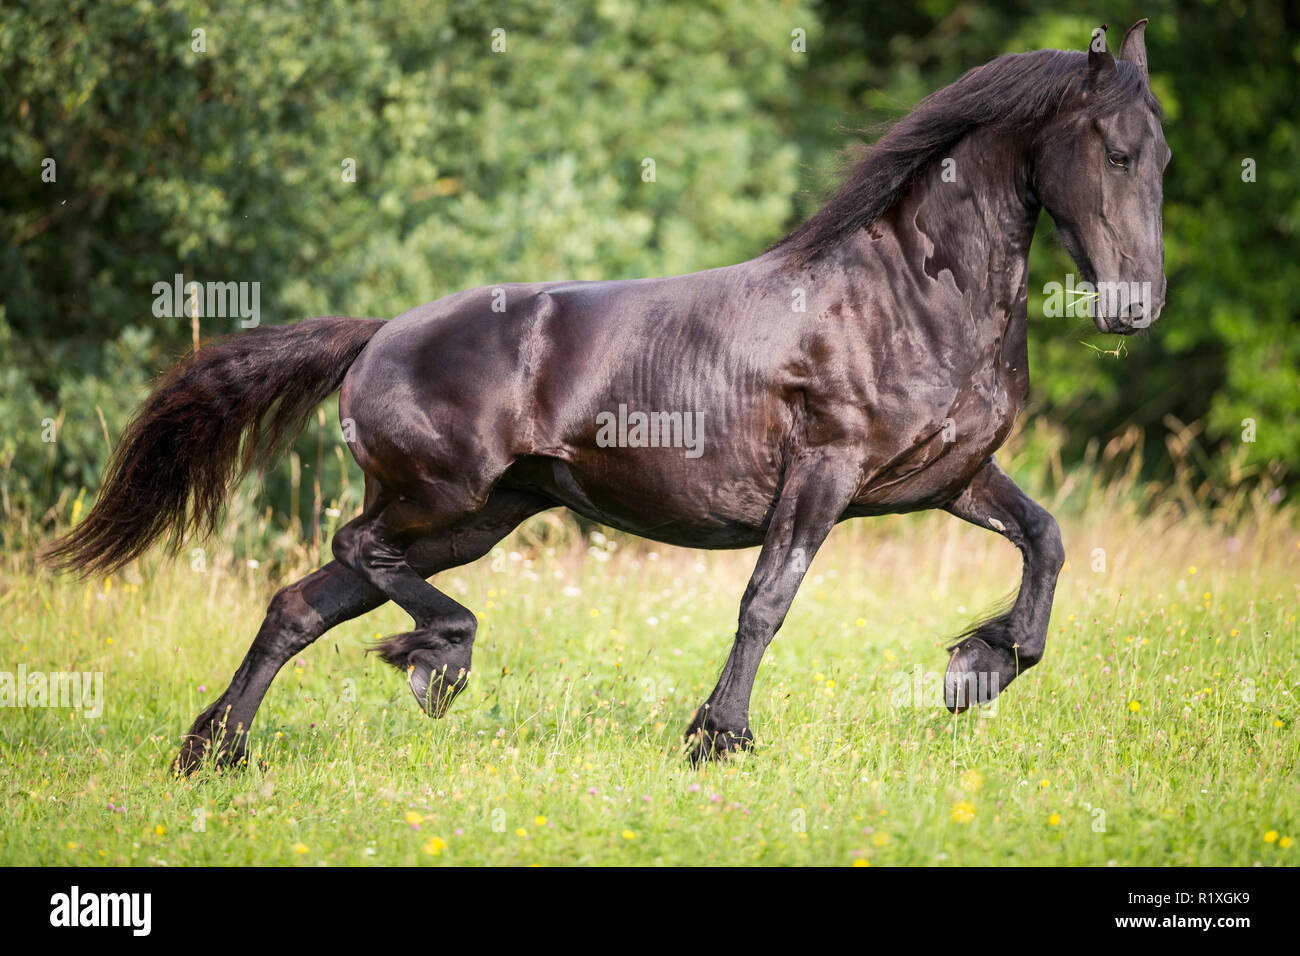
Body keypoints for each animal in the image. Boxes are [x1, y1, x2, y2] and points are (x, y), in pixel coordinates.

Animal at [47, 21, 1168, 773]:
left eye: (1160, 156)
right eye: (1114, 153)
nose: (1135, 306)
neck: (908, 293)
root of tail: (379, 334)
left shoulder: (948, 476)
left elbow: (1046, 538)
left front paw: (979, 666)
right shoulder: (826, 468)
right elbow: (767, 598)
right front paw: (718, 736)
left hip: (473, 518)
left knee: (300, 601)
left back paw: (218, 752)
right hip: (442, 498)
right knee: (351, 550)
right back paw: (435, 659)